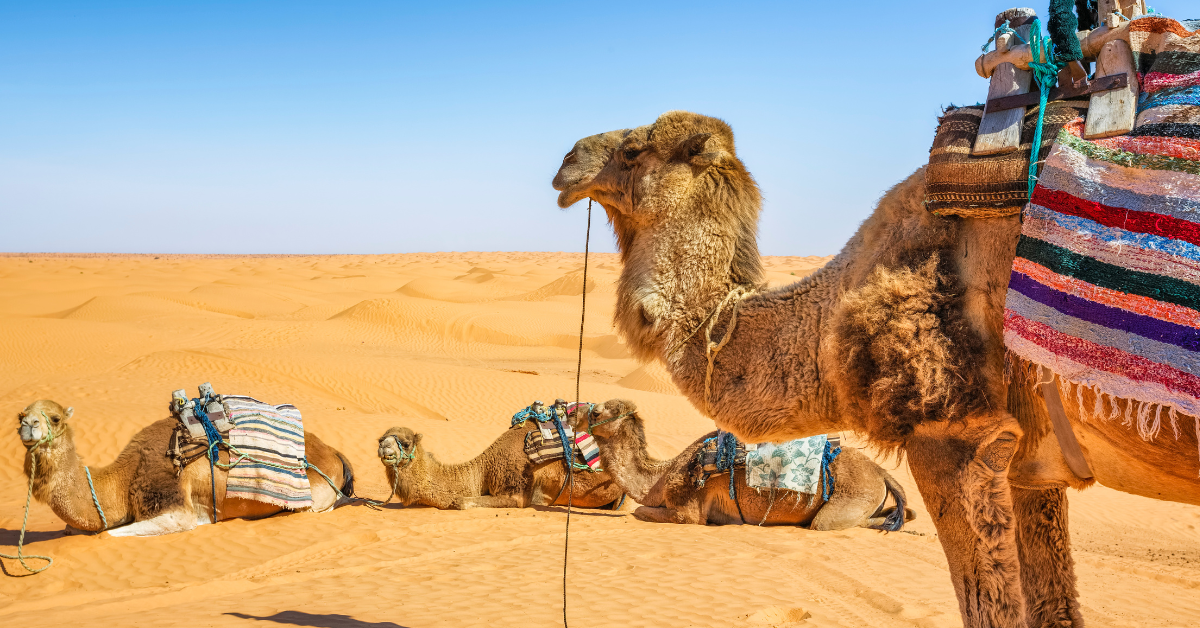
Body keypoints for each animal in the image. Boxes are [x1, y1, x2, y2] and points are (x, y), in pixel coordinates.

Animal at [16, 399, 354, 537]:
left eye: (55, 418)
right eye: (19, 415)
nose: (28, 425)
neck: (124, 478)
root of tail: (335, 454)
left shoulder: (175, 507)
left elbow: (109, 536)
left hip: (314, 497)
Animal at [376, 422, 624, 509]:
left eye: (405, 443)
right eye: (381, 439)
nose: (384, 448)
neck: (485, 468)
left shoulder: (517, 492)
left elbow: (460, 502)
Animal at [572, 398, 915, 529]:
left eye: (597, 411)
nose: (572, 413)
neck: (662, 475)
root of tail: (881, 473)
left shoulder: (688, 511)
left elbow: (641, 511)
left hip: (848, 500)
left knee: (828, 522)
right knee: (904, 513)